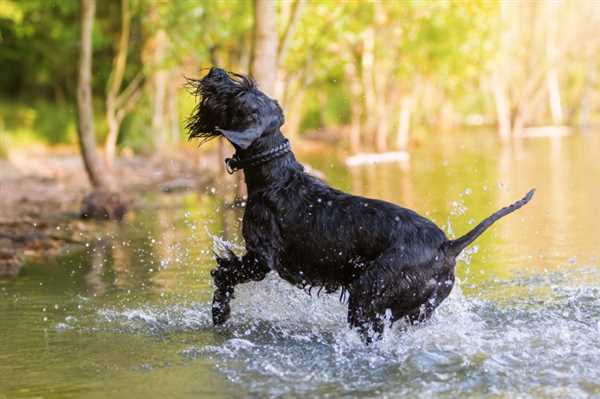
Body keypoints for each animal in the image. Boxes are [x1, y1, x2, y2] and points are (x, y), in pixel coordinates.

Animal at [186, 69, 536, 344]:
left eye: (237, 93)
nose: (215, 70)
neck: (274, 176)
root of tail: (449, 246)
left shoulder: (261, 259)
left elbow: (226, 273)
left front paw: (220, 310)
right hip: (416, 310)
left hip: (367, 297)